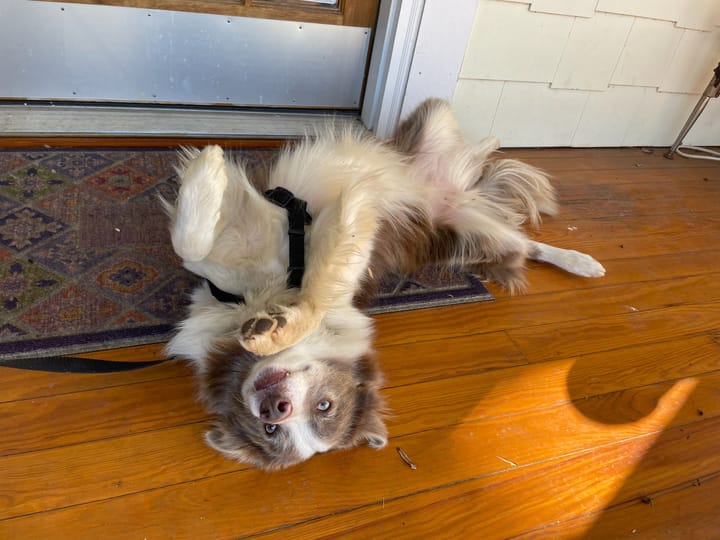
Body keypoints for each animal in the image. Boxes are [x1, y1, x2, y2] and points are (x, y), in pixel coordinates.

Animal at [162, 99, 600, 470]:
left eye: (324, 407)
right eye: (269, 430)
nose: (274, 408)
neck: (255, 300)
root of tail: (459, 196)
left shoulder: (348, 244)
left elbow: (318, 289)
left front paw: (277, 330)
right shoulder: (227, 248)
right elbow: (189, 243)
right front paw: (207, 165)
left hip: (477, 228)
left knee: (526, 242)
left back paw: (581, 261)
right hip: (457, 178)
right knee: (516, 230)